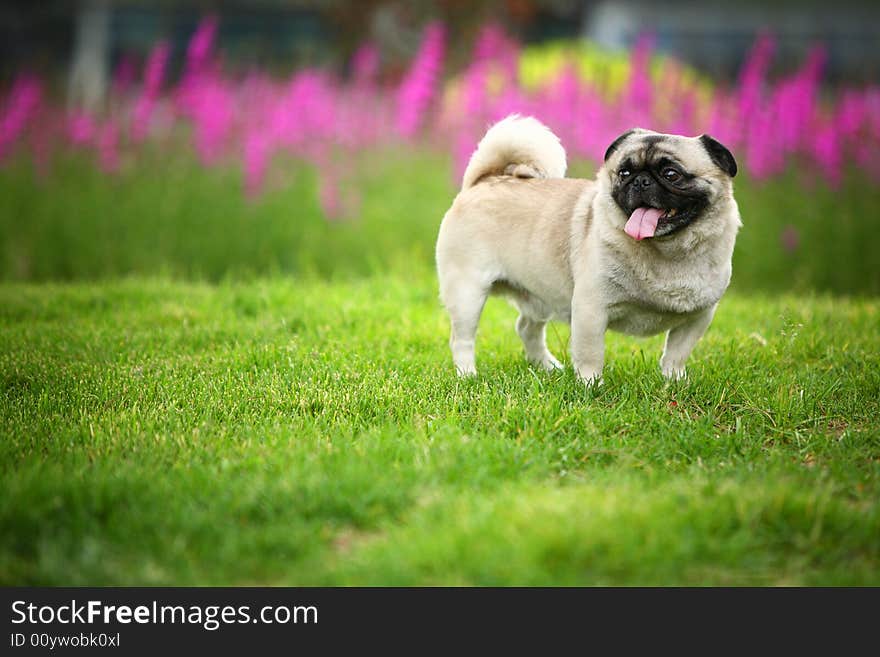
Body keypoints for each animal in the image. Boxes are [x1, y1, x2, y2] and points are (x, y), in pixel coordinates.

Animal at [436, 115, 740, 382]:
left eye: (671, 174)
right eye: (624, 172)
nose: (640, 180)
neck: (666, 252)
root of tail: (486, 180)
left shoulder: (698, 318)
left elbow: (676, 354)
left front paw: (673, 382)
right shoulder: (591, 310)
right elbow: (591, 355)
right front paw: (590, 386)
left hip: (539, 294)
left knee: (527, 329)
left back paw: (547, 366)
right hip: (467, 292)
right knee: (462, 339)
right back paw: (467, 375)